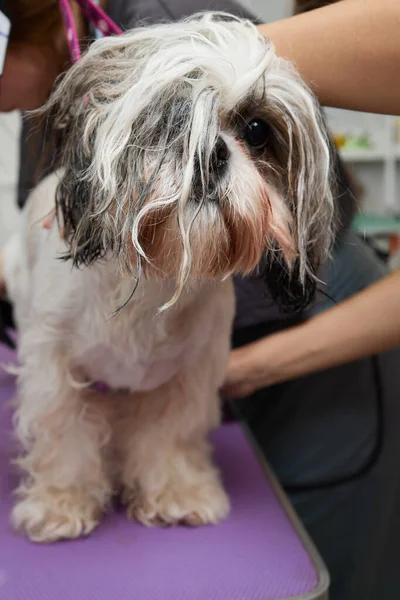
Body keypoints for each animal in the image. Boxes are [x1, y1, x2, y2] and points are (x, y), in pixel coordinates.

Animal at [3, 12, 334, 544]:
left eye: (257, 130)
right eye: (168, 119)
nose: (208, 153)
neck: (156, 278)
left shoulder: (191, 374)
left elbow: (168, 436)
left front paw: (176, 494)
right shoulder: (54, 364)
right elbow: (65, 434)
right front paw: (61, 502)